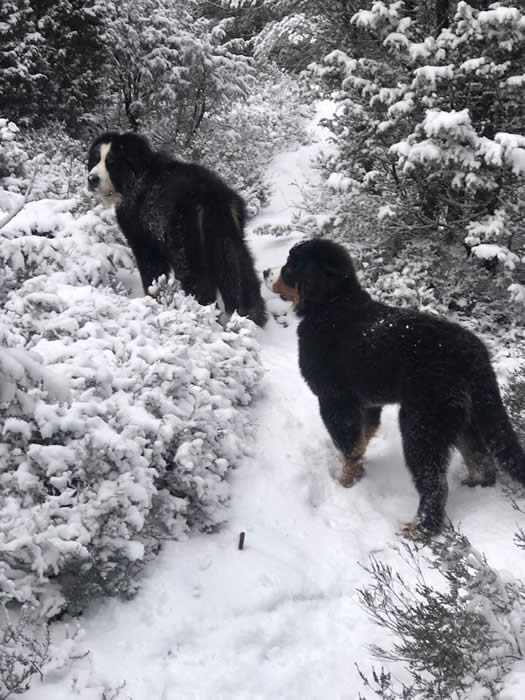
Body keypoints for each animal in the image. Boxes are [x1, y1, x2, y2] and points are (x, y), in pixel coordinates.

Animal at [87, 133, 266, 326]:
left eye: (111, 163)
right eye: (95, 159)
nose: (91, 179)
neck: (136, 178)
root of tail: (212, 196)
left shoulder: (144, 242)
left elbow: (152, 278)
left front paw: (152, 304)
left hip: (186, 247)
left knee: (200, 288)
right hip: (232, 240)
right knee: (246, 280)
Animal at [264, 238, 524, 540]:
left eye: (289, 266)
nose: (265, 272)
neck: (332, 305)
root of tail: (474, 353)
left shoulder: (335, 400)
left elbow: (347, 443)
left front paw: (345, 482)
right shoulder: (365, 402)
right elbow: (361, 439)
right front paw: (356, 470)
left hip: (422, 422)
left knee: (435, 482)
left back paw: (420, 528)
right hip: (463, 416)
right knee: (481, 458)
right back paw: (473, 484)